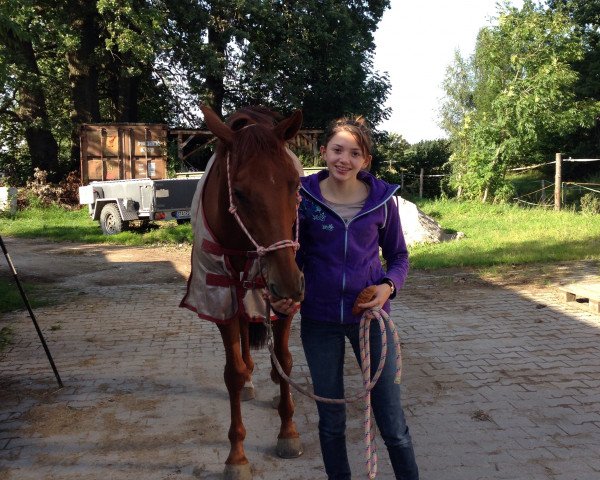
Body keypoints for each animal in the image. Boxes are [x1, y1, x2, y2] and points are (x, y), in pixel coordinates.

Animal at [180, 105, 304, 480]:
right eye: (241, 192)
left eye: (296, 184)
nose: (289, 283)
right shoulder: (221, 299)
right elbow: (233, 373)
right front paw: (236, 456)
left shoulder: (282, 303)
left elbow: (287, 360)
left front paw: (288, 432)